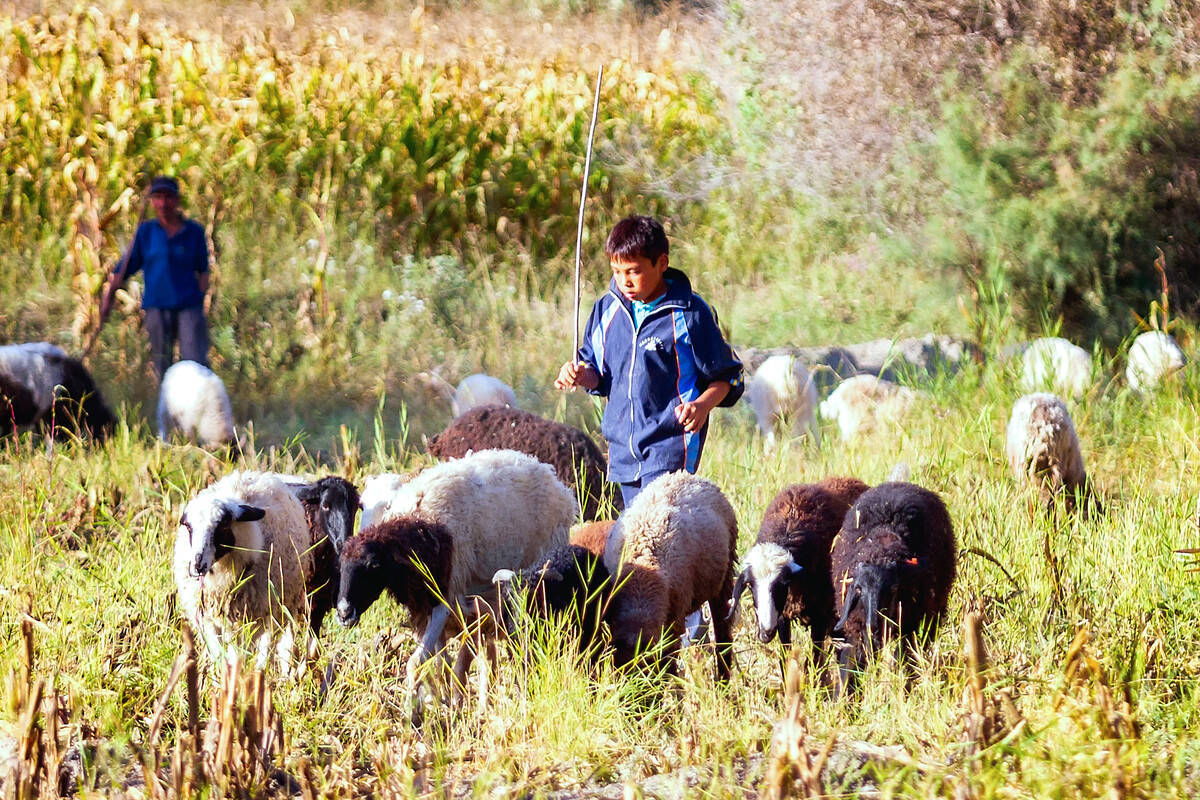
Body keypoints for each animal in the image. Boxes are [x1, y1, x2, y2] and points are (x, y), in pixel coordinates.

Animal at [174, 470, 316, 671]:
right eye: (188, 526)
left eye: (223, 525)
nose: (197, 566)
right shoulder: (207, 616)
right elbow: (220, 654)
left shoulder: (267, 610)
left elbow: (262, 653)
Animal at [336, 450, 578, 690]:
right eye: (361, 505)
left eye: (374, 565)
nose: (344, 612)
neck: (417, 526)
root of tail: (551, 475)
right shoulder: (424, 608)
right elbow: (442, 663)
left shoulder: (444, 600)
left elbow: (418, 663)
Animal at [724, 474, 868, 662]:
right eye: (750, 585)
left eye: (782, 585)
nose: (765, 634)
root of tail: (850, 478)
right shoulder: (783, 615)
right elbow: (785, 655)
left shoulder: (821, 615)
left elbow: (816, 658)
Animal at [835, 482, 955, 690]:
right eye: (859, 589)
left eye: (893, 589)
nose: (873, 625)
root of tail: (899, 483)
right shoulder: (857, 631)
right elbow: (848, 672)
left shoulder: (909, 628)